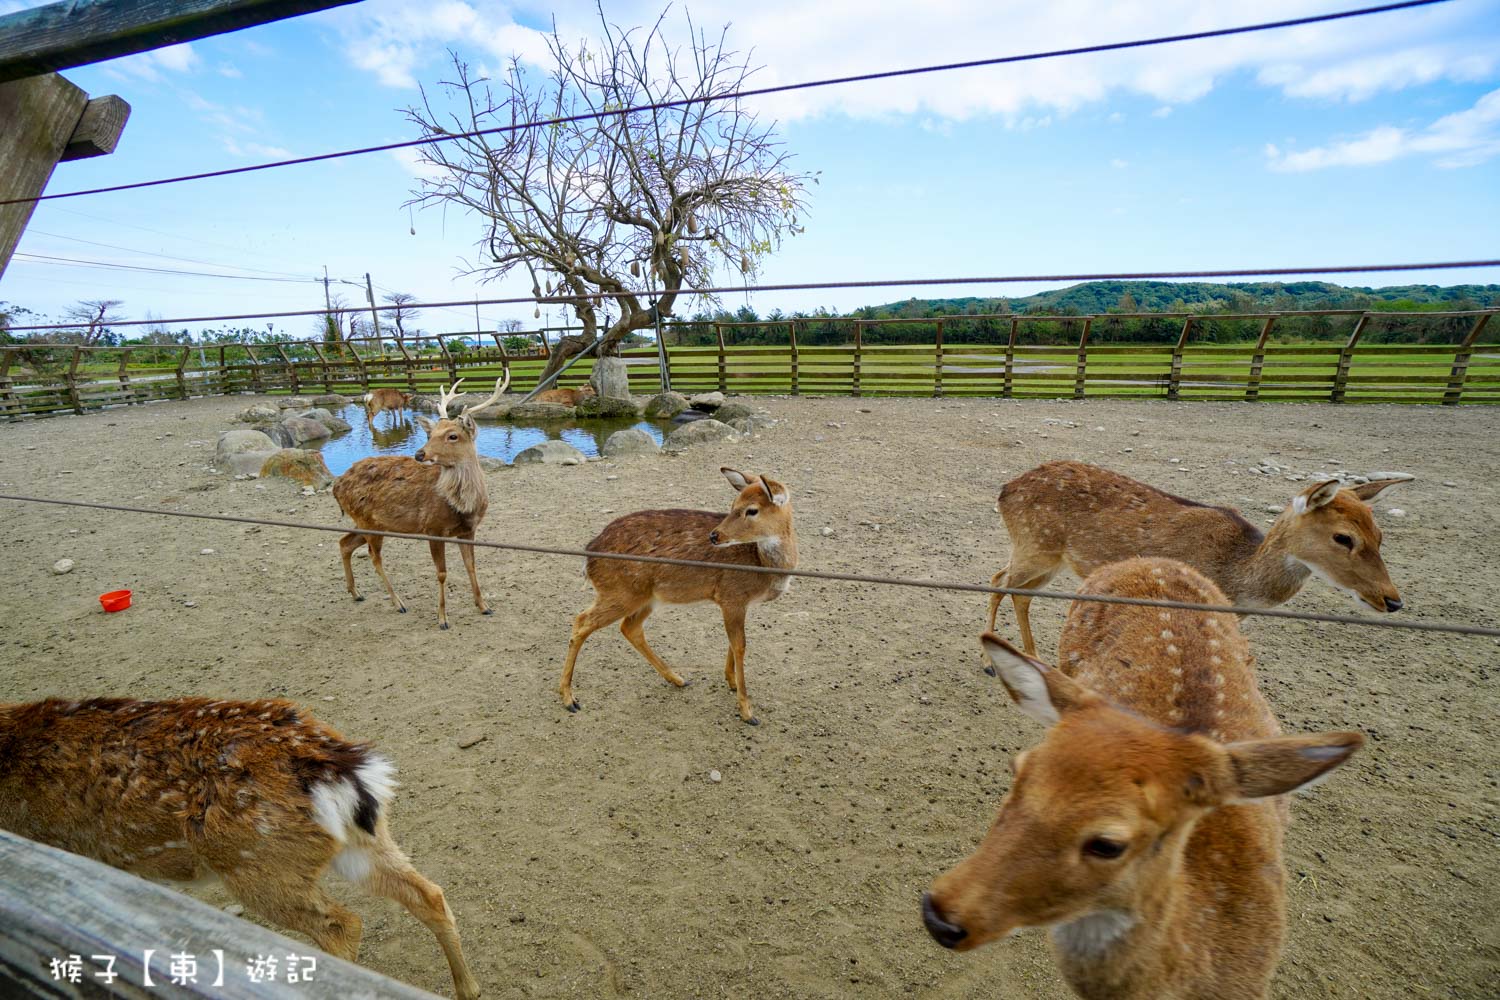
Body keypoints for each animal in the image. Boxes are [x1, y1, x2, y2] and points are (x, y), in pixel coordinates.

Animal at [0, 695, 480, 1000]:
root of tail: (342, 773)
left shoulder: (65, 846)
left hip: (259, 867)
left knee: (342, 925)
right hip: (364, 840)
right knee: (428, 893)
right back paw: (468, 990)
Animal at [334, 371, 510, 629]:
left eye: (452, 435)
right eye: (431, 433)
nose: (419, 453)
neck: (463, 506)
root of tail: (336, 486)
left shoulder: (468, 530)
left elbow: (471, 566)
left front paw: (484, 606)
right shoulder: (433, 528)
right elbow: (442, 573)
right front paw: (442, 618)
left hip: (368, 522)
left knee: (344, 542)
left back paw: (356, 592)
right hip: (367, 521)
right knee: (374, 557)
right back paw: (398, 603)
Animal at [561, 470, 798, 728]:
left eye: (751, 510)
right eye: (733, 504)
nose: (715, 535)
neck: (762, 566)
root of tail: (588, 558)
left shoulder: (739, 603)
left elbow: (734, 643)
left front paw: (731, 682)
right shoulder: (731, 596)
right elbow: (740, 645)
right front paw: (748, 712)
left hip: (647, 597)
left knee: (629, 627)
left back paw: (678, 679)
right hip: (620, 593)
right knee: (581, 621)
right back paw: (569, 699)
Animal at [990, 461, 1410, 656]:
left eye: (1380, 535)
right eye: (1344, 537)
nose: (1392, 600)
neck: (1234, 581)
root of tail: (1005, 489)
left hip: (1051, 559)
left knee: (1014, 588)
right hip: (1034, 546)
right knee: (999, 583)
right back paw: (992, 659)